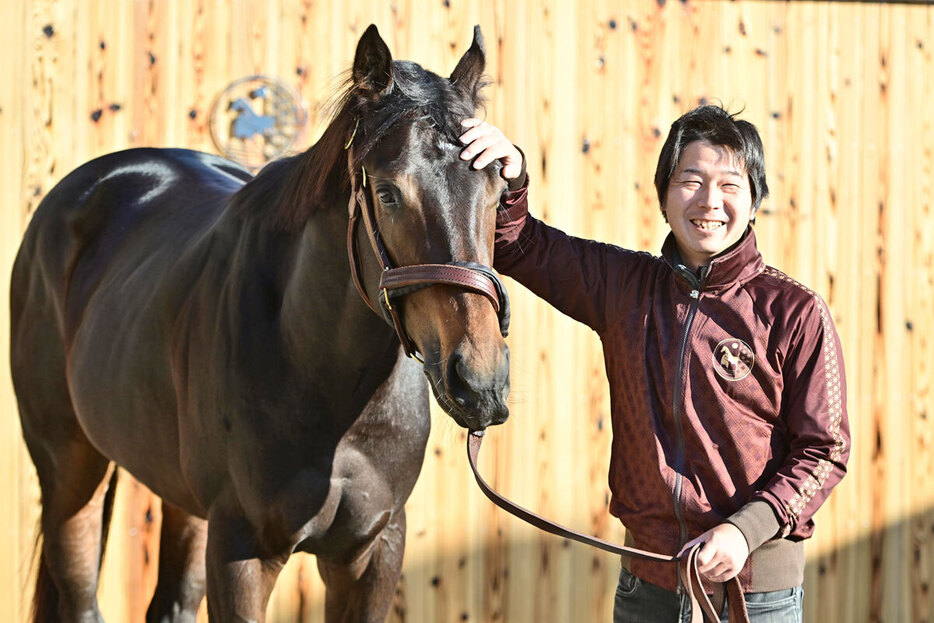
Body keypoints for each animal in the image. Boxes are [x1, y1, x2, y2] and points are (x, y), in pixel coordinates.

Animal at [9, 25, 512, 623]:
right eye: (389, 192)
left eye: (499, 191)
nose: (479, 383)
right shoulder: (241, 549)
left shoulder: (373, 548)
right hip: (70, 471)